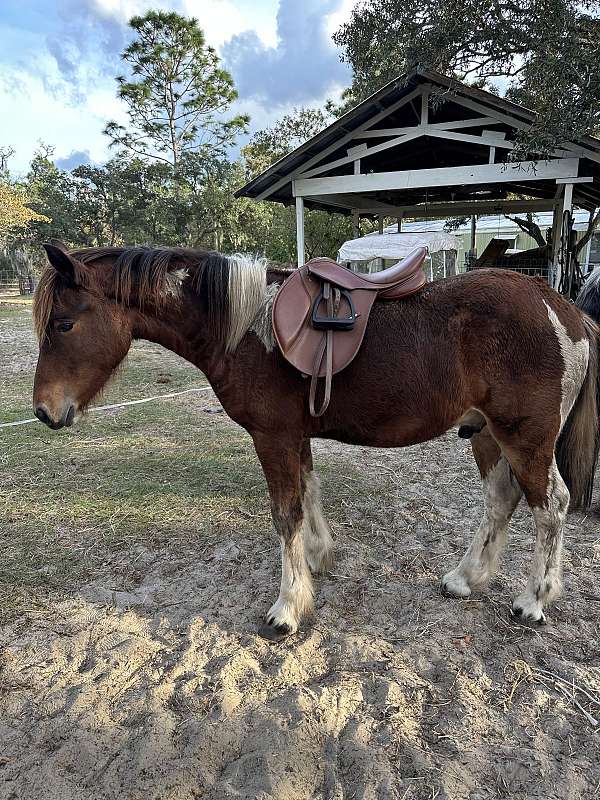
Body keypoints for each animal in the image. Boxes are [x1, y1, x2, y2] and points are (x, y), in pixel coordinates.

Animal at [32, 244, 600, 636]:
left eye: (63, 324)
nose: (43, 411)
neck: (245, 328)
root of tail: (564, 309)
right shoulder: (293, 436)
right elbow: (308, 493)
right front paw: (318, 557)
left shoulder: (272, 437)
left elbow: (285, 514)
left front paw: (288, 606)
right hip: (487, 435)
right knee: (501, 500)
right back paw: (466, 578)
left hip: (525, 439)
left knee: (551, 505)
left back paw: (535, 599)